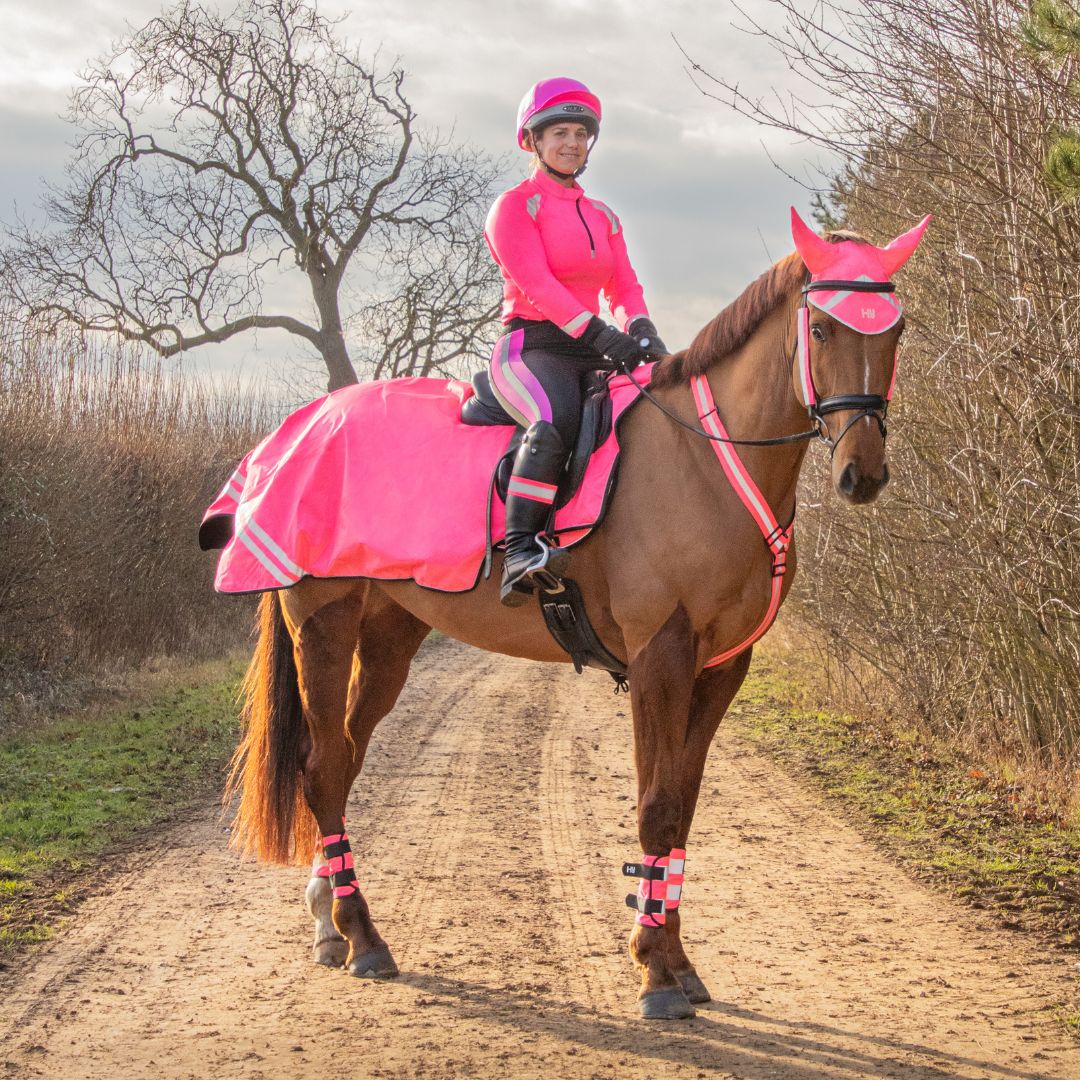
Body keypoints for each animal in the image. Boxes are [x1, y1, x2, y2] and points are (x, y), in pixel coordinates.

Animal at [219, 208, 928, 1019]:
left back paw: (329, 920)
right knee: (324, 764)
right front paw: (656, 974)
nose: (862, 474)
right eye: (824, 329)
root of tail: (301, 427)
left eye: (895, 330)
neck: (704, 463)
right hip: (325, 623)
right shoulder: (660, 655)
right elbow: (657, 805)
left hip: (389, 636)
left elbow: (682, 805)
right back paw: (363, 936)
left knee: (342, 759)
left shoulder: (722, 665)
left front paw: (675, 960)